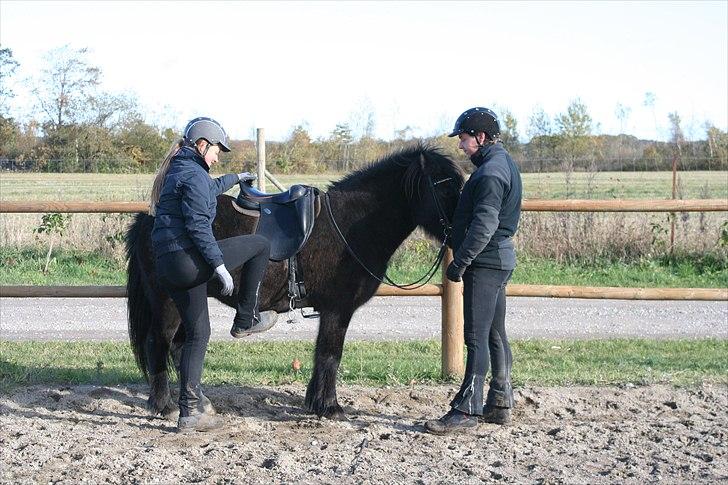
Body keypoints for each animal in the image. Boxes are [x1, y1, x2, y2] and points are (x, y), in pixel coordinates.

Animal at [127, 144, 464, 420]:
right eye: (445, 188)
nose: (462, 230)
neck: (348, 226)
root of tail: (150, 216)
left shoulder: (329, 311)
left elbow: (321, 354)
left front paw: (315, 402)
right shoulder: (338, 309)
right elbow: (330, 354)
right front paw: (329, 407)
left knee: (180, 346)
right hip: (168, 301)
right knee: (159, 343)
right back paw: (165, 406)